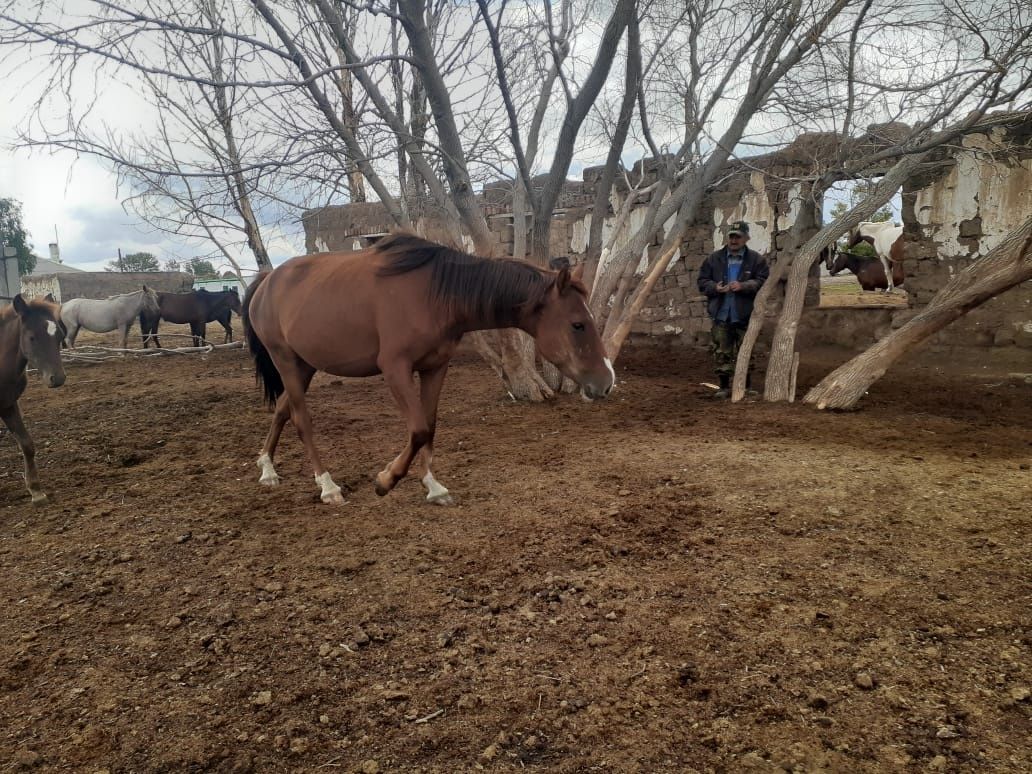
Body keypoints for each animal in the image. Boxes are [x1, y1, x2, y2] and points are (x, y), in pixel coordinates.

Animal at [0, 293, 66, 505]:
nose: (57, 378)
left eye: (60, 335)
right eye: (31, 337)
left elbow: (27, 444)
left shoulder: (8, 405)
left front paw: (36, 491)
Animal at [241, 233, 610, 505]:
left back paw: (267, 469)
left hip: (305, 366)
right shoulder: (395, 369)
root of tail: (268, 280)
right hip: (286, 361)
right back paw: (328, 487)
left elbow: (430, 426)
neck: (434, 294)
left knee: (283, 410)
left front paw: (433, 487)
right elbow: (418, 429)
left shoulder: (435, 367)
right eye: (578, 324)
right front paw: (386, 480)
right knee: (301, 420)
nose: (607, 381)